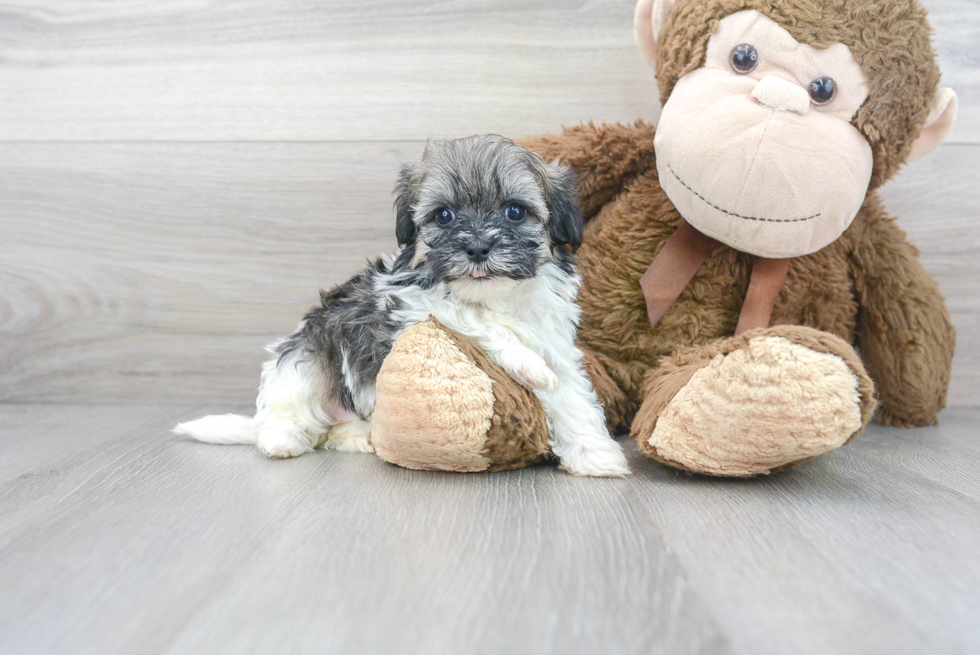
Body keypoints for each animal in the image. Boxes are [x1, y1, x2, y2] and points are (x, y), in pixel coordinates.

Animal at [178, 136, 628, 480]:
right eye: (443, 216)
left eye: (515, 210)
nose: (477, 247)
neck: (495, 294)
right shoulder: (412, 301)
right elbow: (476, 319)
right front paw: (528, 365)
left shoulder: (554, 337)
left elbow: (570, 394)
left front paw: (593, 452)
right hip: (306, 355)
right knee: (289, 408)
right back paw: (282, 439)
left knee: (328, 434)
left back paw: (361, 437)